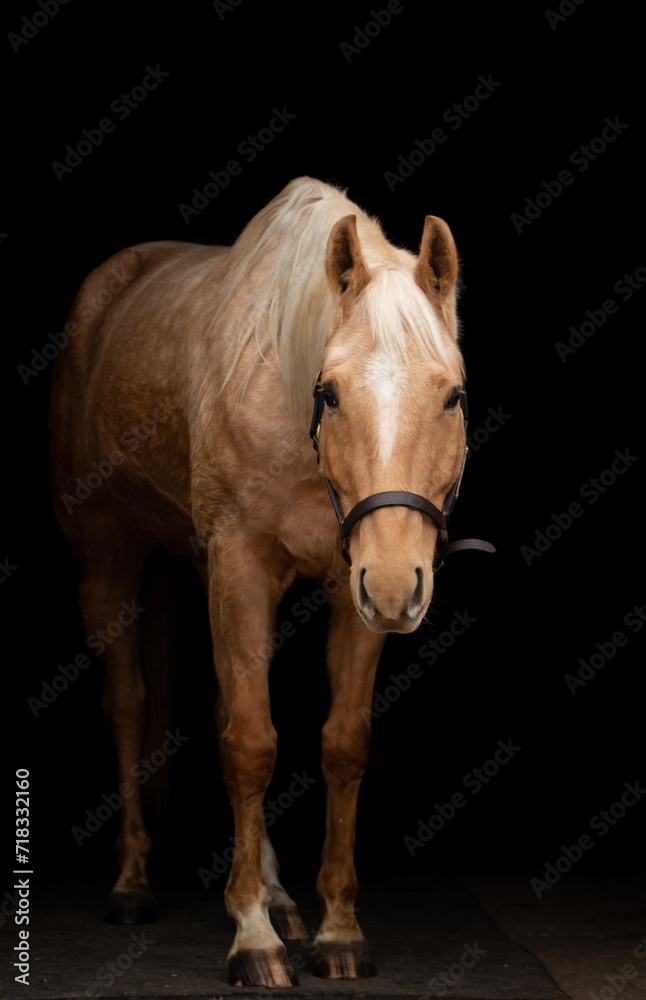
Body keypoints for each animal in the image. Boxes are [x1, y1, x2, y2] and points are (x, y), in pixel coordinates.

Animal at [49, 176, 490, 988]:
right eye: (332, 392)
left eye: (452, 395)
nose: (397, 588)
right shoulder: (242, 566)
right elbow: (251, 744)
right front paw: (251, 936)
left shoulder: (355, 585)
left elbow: (342, 745)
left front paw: (337, 929)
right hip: (107, 558)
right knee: (127, 705)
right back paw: (132, 883)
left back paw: (282, 898)